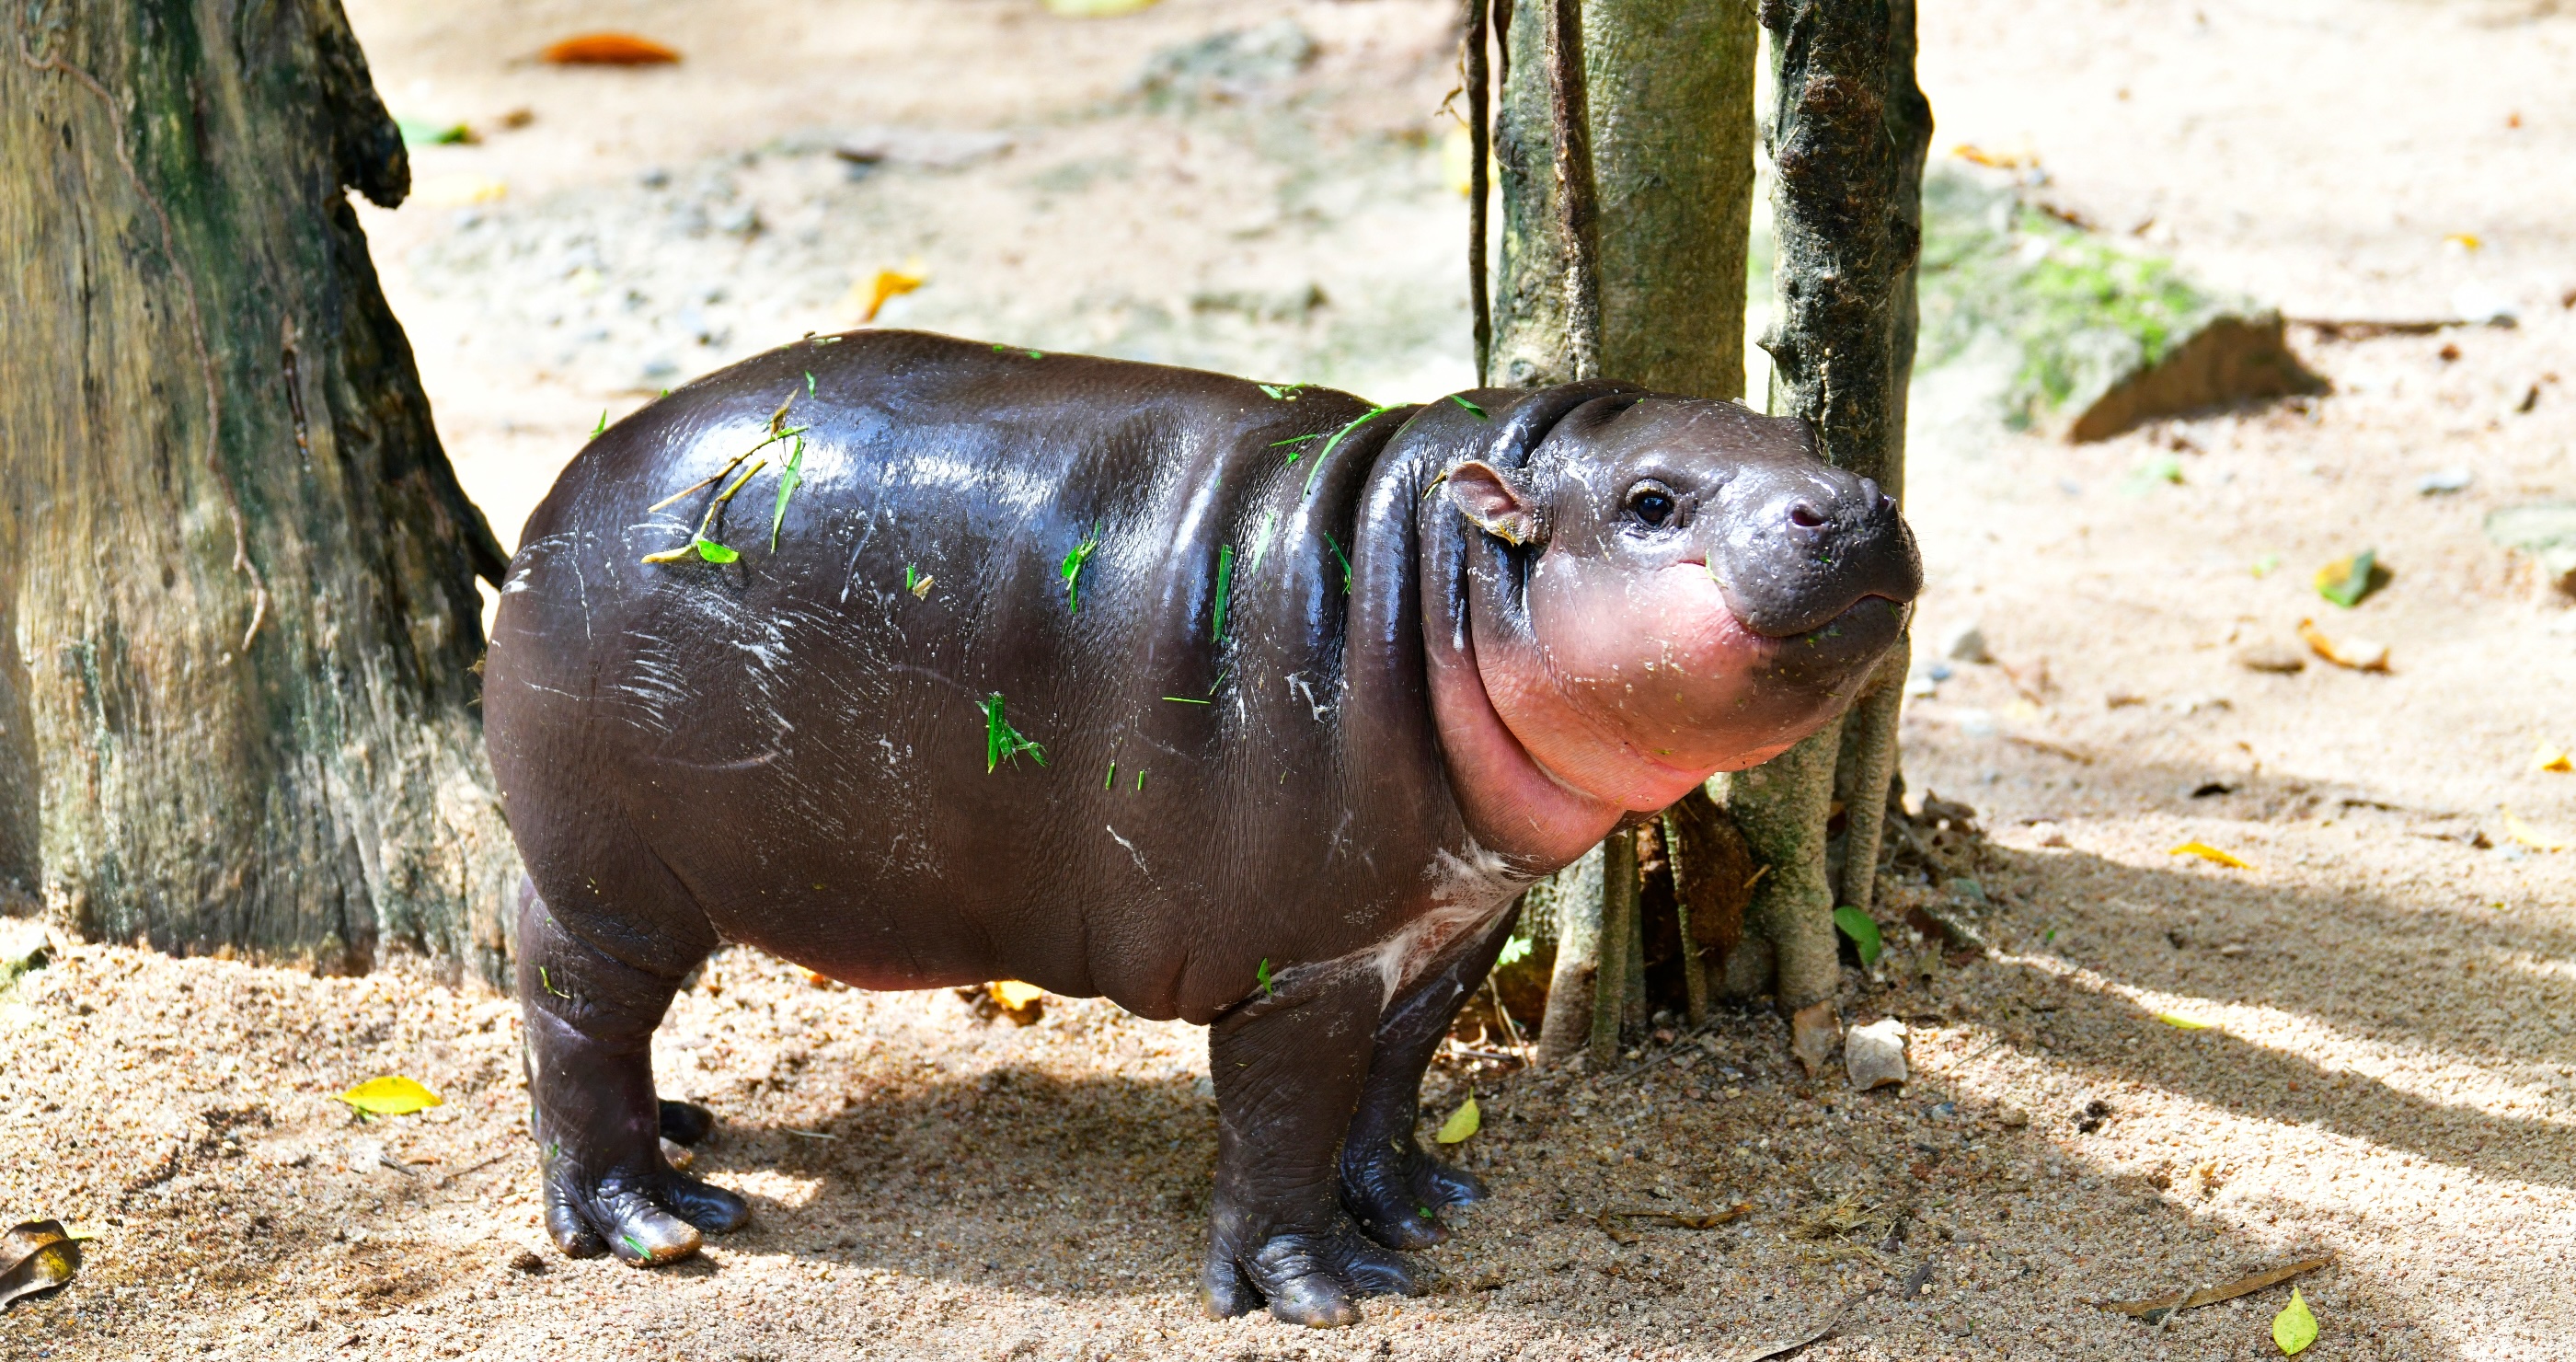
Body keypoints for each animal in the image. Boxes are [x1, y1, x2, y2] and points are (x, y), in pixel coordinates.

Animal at [483, 329, 1918, 1326]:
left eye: (1801, 424)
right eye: (1652, 503)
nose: (1855, 503)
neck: (1434, 573)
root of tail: (569, 479)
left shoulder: (1447, 928)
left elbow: (1390, 1086)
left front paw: (1423, 1211)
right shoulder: (1300, 968)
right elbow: (1284, 1124)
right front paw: (1321, 1293)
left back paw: (688, 1131)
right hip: (611, 877)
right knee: (571, 1010)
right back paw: (655, 1219)